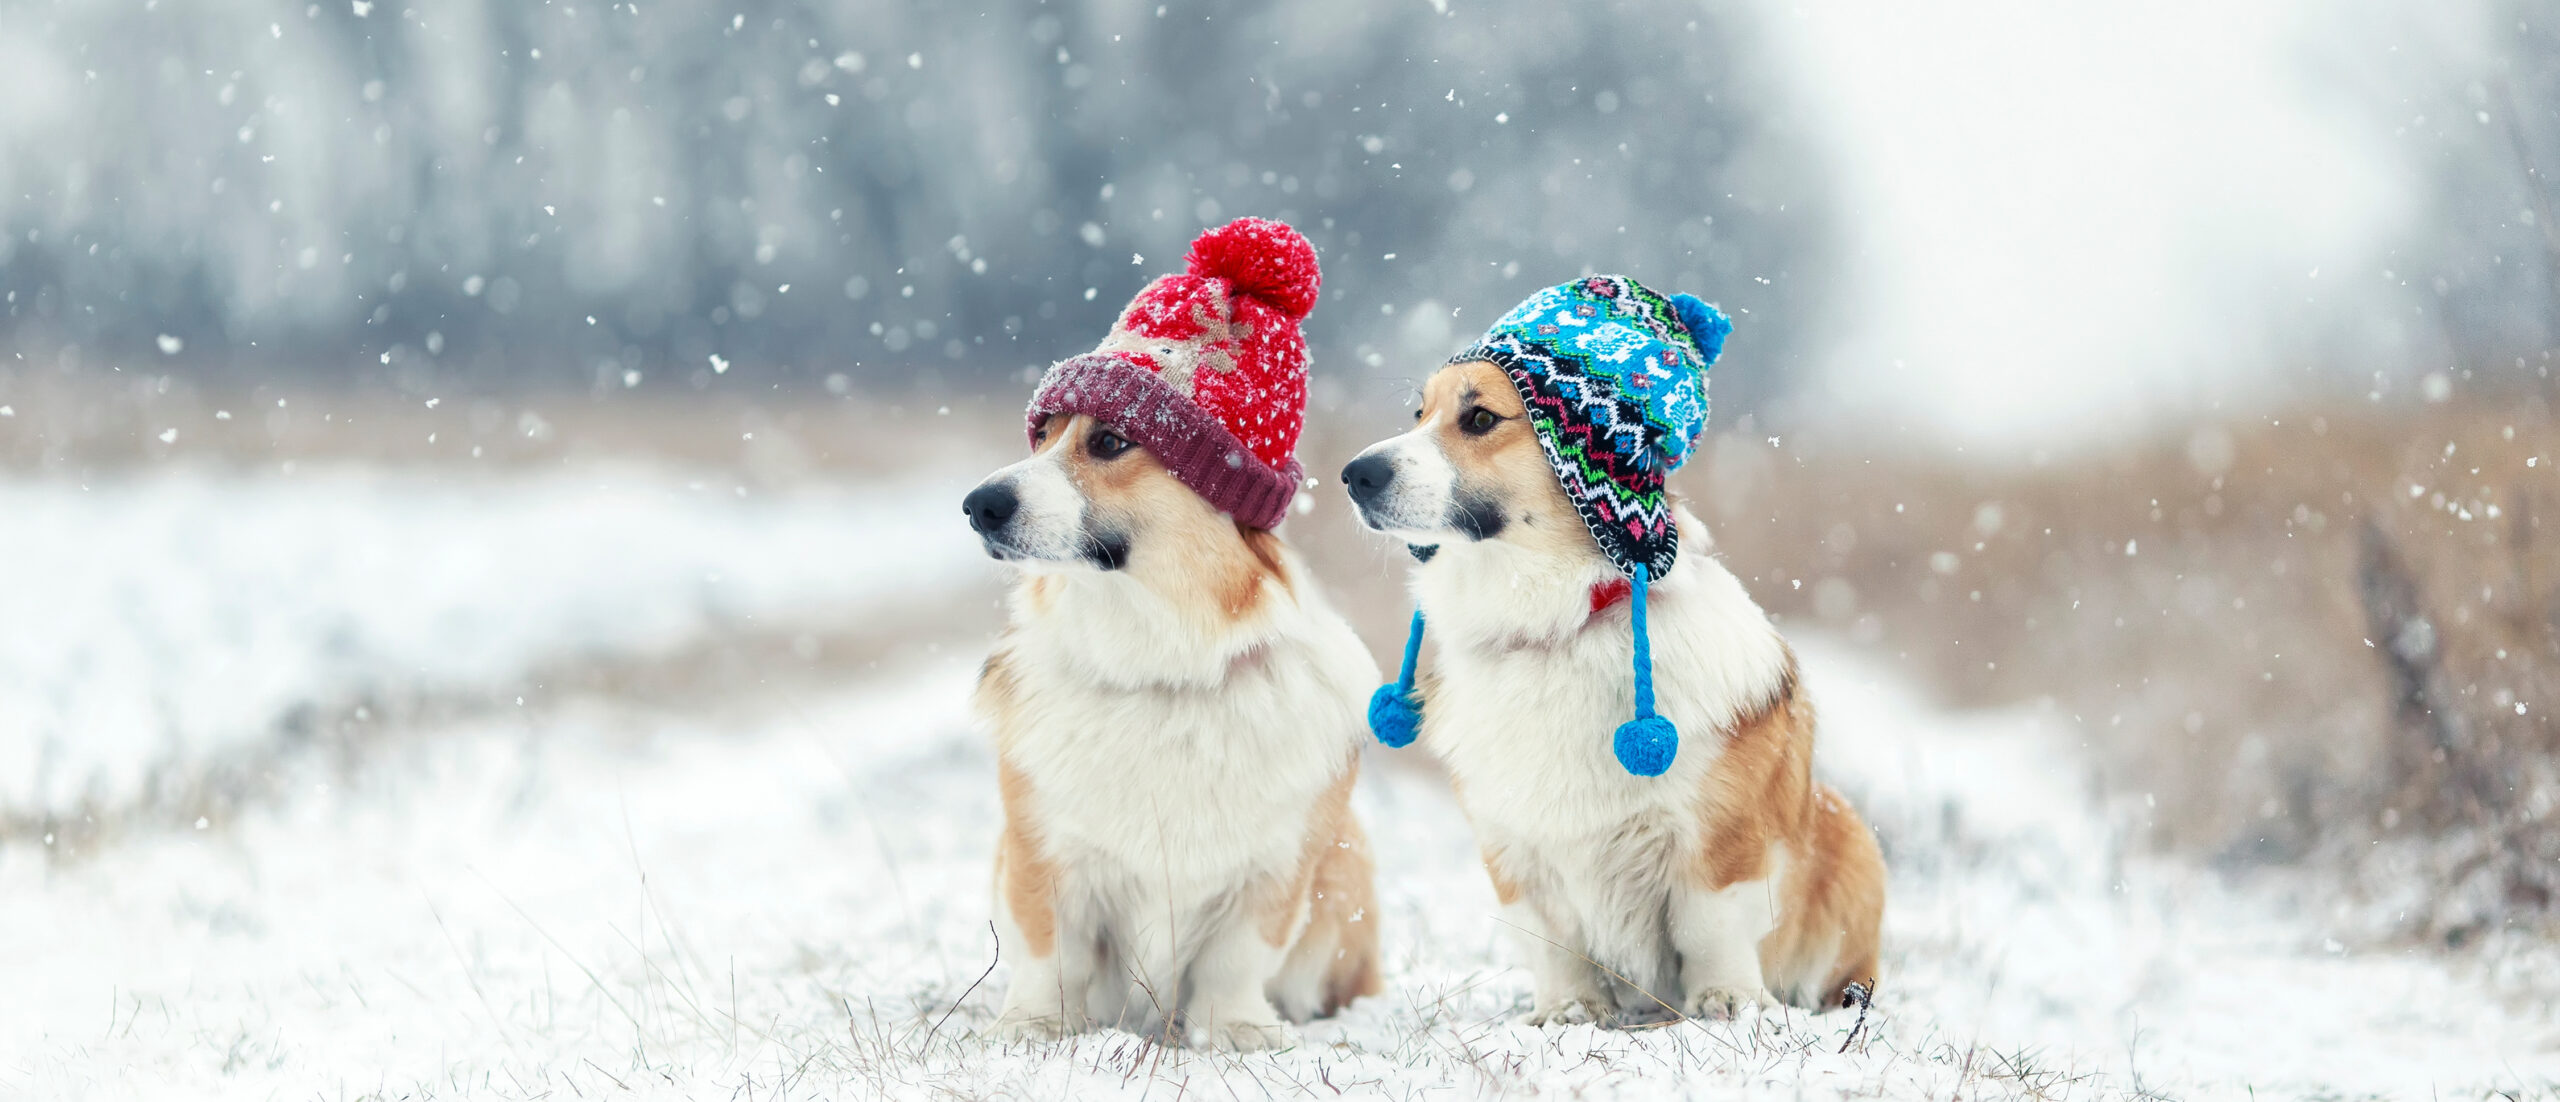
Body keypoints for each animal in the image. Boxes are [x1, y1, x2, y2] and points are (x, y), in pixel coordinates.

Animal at [962, 217, 1382, 1050]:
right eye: (1044, 435)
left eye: (1110, 443)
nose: (977, 505)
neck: (1163, 663)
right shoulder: (1041, 853)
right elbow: (1048, 953)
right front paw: (1031, 1027)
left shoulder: (1275, 867)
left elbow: (1236, 959)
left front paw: (1238, 1032)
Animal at [1341, 272, 1884, 1025]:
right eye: (1418, 412)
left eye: (1479, 419)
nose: (1353, 474)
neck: (1559, 622)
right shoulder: (1514, 847)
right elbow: (1554, 939)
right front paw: (1569, 1011)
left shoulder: (1719, 837)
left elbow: (1710, 924)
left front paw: (1726, 1001)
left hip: (1850, 832)